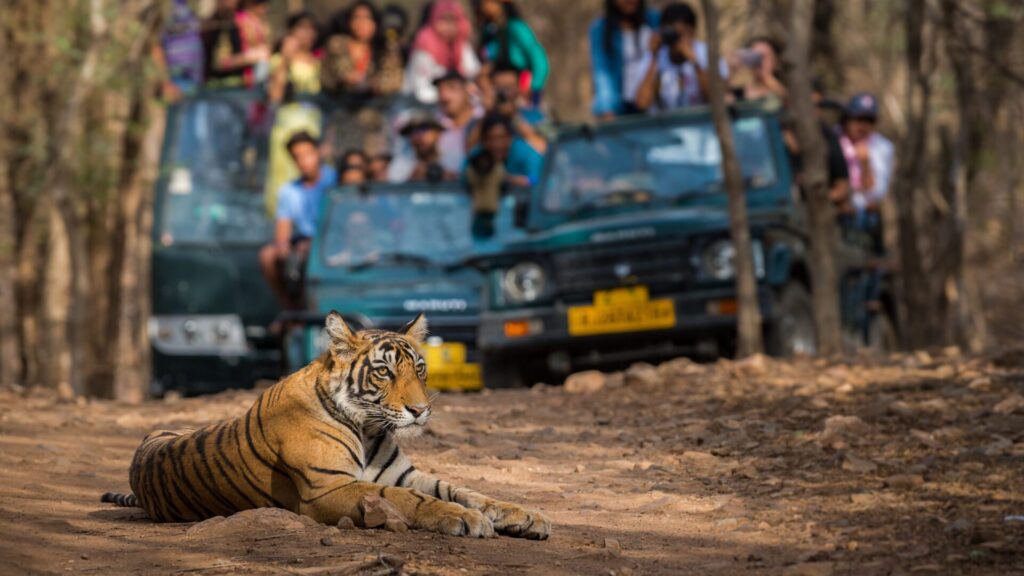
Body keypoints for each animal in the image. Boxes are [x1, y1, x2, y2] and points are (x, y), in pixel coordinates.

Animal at [101, 312, 550, 540]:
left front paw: (525, 515)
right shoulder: (327, 488)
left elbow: (464, 490)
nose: (420, 410)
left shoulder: (404, 473)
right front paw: (467, 519)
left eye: (419, 369)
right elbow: (410, 499)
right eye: (385, 372)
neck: (369, 428)